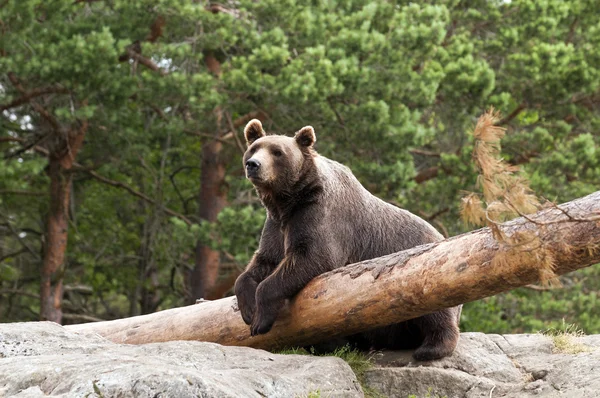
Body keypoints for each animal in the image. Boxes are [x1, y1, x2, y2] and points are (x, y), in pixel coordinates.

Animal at [232, 118, 462, 360]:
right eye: (253, 148)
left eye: (277, 152)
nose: (253, 165)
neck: (286, 202)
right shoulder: (276, 226)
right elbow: (262, 262)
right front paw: (248, 309)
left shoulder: (319, 216)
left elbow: (312, 256)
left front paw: (259, 321)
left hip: (426, 267)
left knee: (434, 305)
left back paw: (431, 348)